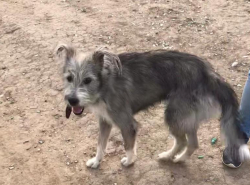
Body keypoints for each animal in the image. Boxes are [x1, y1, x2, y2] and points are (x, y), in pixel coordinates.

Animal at [55, 43, 250, 168]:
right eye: (69, 78)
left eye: (88, 80)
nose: (72, 100)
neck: (104, 83)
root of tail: (210, 73)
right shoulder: (105, 121)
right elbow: (100, 145)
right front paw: (96, 162)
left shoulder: (127, 124)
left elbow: (128, 146)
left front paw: (129, 161)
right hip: (184, 117)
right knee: (190, 142)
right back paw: (173, 157)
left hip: (174, 114)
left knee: (186, 142)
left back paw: (175, 158)